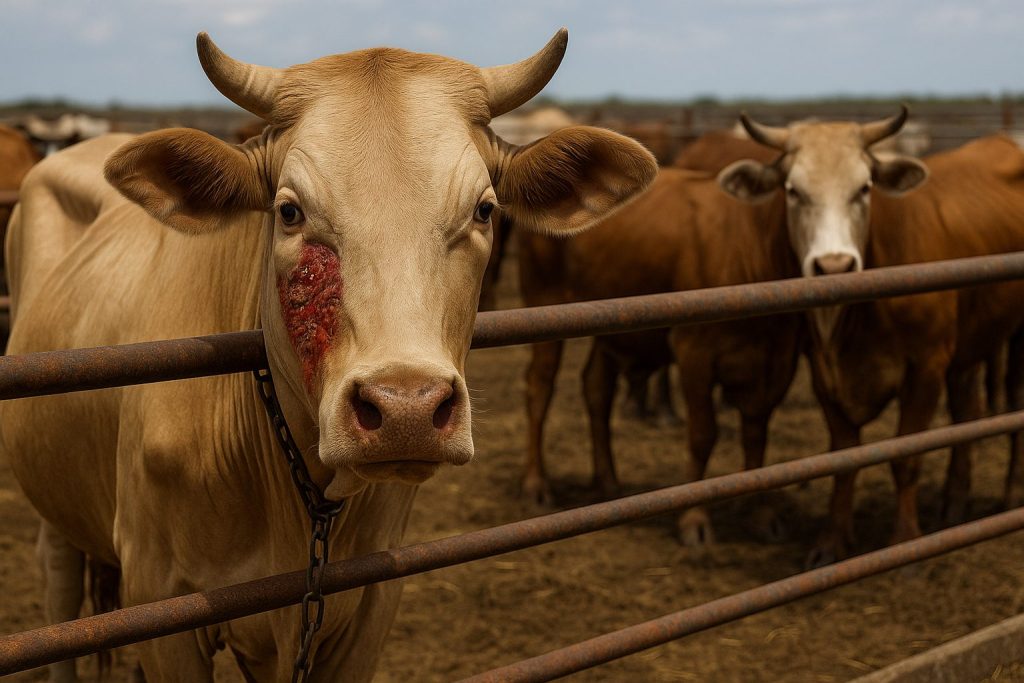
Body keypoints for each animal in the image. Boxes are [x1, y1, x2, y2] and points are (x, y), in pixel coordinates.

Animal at [519, 133, 802, 548]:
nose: (834, 262)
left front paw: (762, 514)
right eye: (794, 190)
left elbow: (756, 432)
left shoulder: (780, 356)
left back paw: (608, 482)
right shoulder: (694, 352)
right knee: (540, 387)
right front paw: (694, 520)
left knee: (596, 388)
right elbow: (702, 434)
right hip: (545, 301)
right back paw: (537, 485)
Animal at [719, 109, 1024, 567]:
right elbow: (844, 460)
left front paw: (905, 541)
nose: (834, 267)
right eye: (793, 190)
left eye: (864, 188)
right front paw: (832, 542)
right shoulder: (825, 373)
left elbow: (907, 457)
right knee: (965, 410)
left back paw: (1011, 494)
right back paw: (954, 501)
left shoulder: (926, 367)